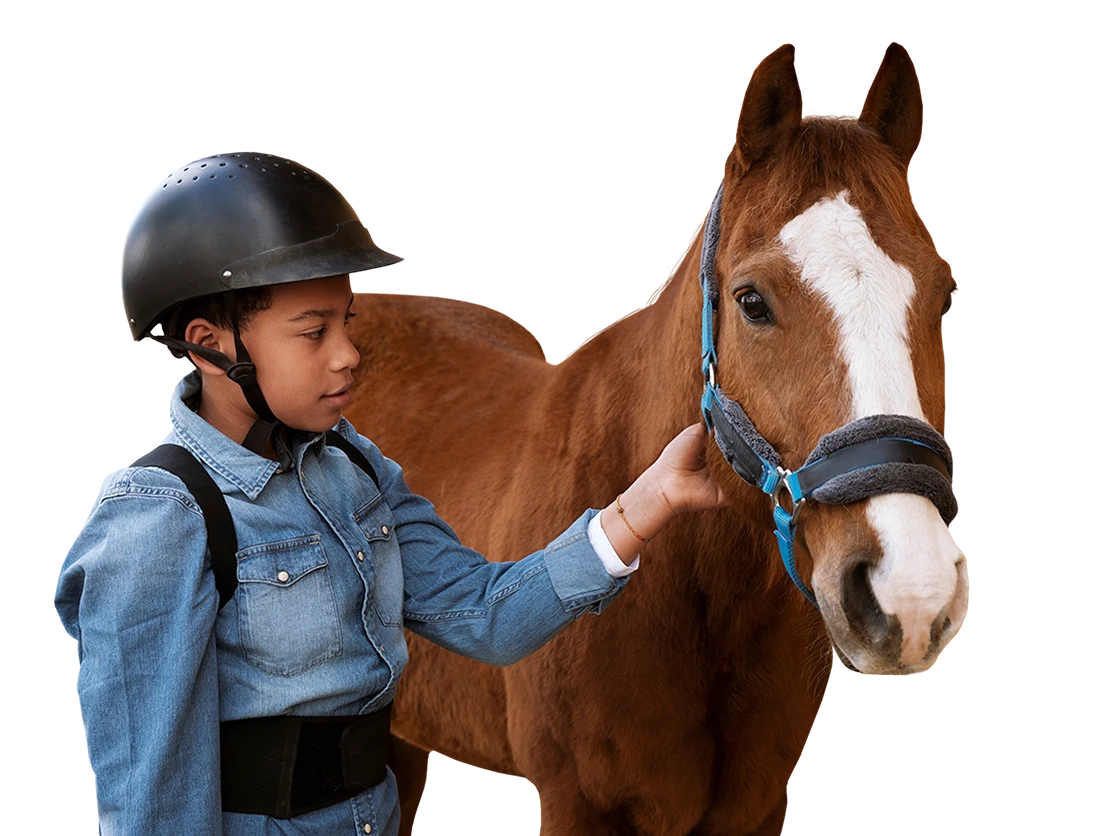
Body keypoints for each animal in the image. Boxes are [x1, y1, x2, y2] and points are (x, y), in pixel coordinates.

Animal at [344, 40, 965, 836]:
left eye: (943, 296)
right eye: (752, 301)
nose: (909, 591)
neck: (690, 589)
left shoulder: (755, 810)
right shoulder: (577, 805)